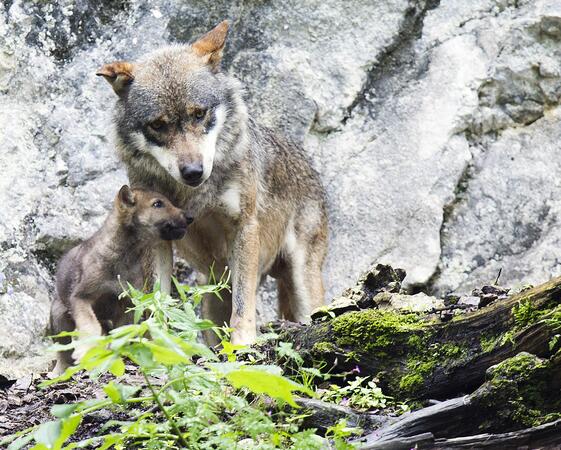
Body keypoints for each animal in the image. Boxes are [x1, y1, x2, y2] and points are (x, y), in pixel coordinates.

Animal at [95, 20, 324, 344]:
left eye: (199, 114)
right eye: (158, 125)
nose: (192, 171)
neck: (192, 196)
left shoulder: (243, 226)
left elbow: (244, 303)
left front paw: (243, 343)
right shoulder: (158, 240)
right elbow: (157, 302)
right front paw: (160, 346)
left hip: (302, 283)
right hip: (212, 293)